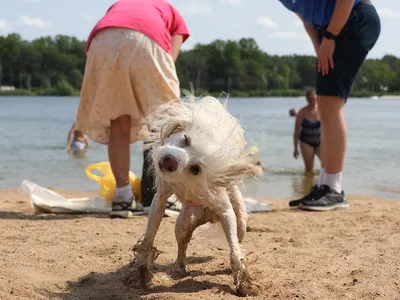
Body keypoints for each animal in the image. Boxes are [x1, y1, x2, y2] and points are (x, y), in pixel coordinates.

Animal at [131, 95, 260, 296]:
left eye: (195, 169)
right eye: (185, 139)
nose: (169, 161)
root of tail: (209, 216)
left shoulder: (225, 210)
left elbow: (234, 250)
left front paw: (241, 280)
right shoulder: (160, 198)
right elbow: (149, 235)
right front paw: (143, 268)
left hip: (241, 224)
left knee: (238, 239)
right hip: (182, 226)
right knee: (182, 246)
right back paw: (180, 267)